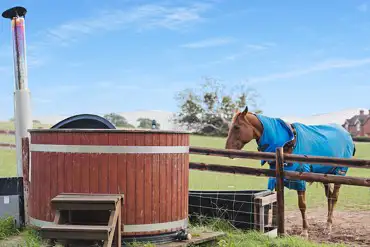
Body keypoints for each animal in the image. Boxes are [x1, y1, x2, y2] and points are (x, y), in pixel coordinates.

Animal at [224, 105, 356, 238]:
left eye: (236, 127)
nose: (227, 149)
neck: (287, 144)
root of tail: (347, 135)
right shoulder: (277, 180)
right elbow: (278, 204)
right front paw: (280, 231)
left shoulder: (299, 181)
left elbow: (302, 205)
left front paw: (305, 231)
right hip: (325, 176)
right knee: (329, 198)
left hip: (339, 174)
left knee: (333, 198)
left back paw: (328, 226)